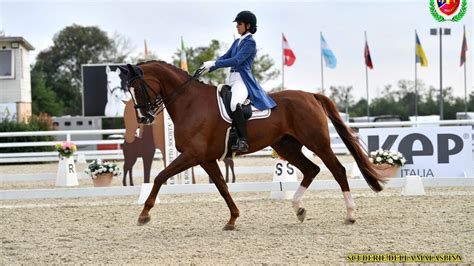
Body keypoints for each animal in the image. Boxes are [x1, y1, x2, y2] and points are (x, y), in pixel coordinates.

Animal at [118, 61, 386, 230]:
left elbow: (160, 177)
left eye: (137, 88)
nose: (144, 118)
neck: (189, 102)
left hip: (317, 142)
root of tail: (311, 95)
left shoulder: (193, 155)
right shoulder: (205, 159)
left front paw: (144, 214)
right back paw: (298, 209)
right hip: (288, 147)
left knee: (337, 170)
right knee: (312, 169)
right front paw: (232, 219)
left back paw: (350, 214)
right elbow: (222, 187)